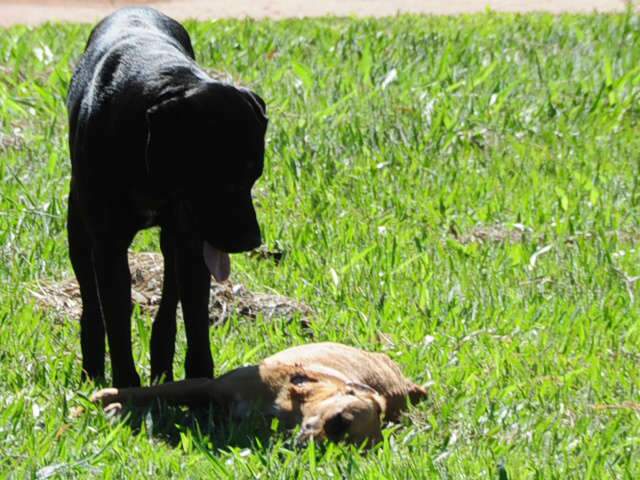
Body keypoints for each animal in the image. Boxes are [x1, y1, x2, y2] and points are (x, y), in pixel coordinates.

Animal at [69, 7, 268, 388]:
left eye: (254, 173)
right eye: (216, 176)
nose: (252, 240)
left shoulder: (192, 241)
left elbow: (195, 312)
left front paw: (201, 382)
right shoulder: (107, 244)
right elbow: (115, 314)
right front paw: (126, 386)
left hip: (174, 241)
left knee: (170, 297)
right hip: (78, 227)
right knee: (91, 300)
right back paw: (93, 368)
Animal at [91, 344, 424, 444]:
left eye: (346, 447)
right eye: (339, 421)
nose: (309, 446)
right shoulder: (208, 385)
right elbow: (148, 391)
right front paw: (99, 399)